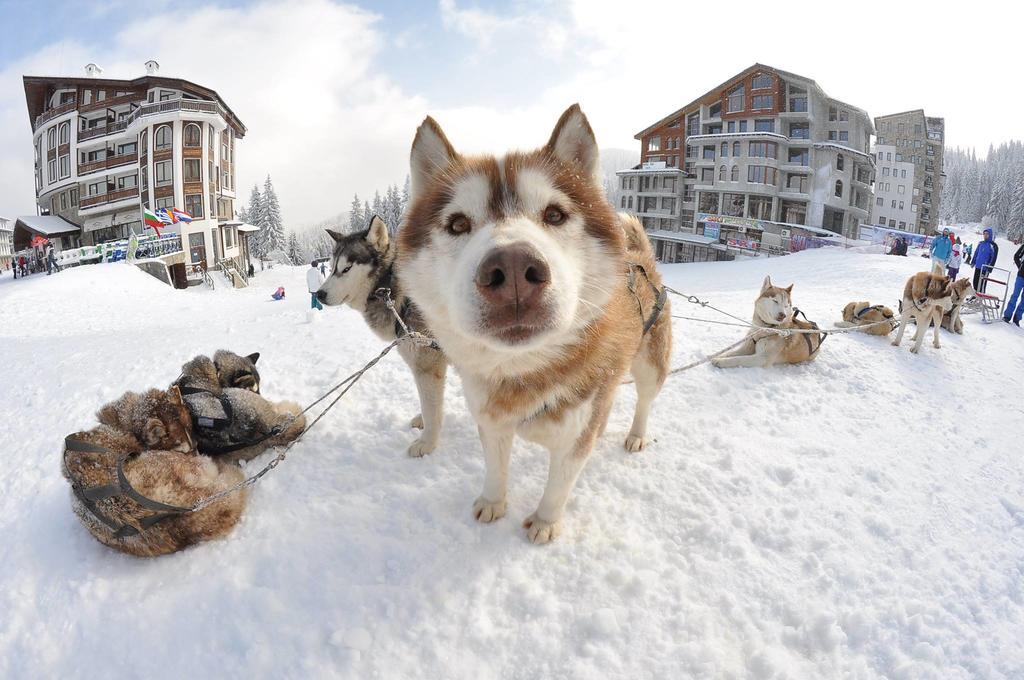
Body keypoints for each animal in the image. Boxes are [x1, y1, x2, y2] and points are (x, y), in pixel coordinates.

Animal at [393, 103, 671, 544]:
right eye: (457, 224)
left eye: (554, 214)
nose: (512, 269)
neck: (525, 376)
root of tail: (640, 259)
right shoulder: (490, 422)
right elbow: (495, 468)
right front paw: (492, 503)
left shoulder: (577, 435)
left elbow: (559, 484)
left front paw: (544, 521)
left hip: (650, 365)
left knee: (644, 399)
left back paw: (637, 434)